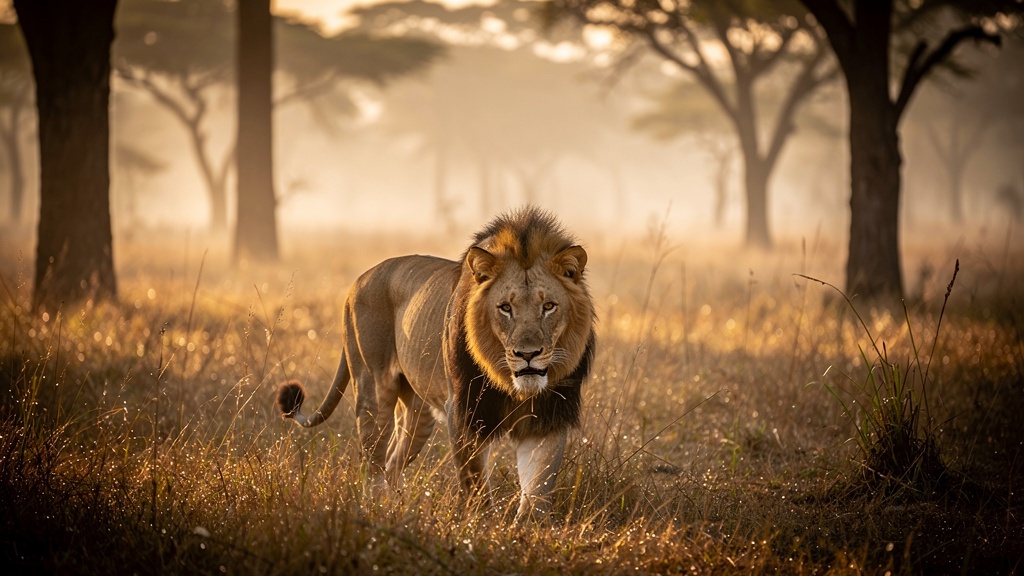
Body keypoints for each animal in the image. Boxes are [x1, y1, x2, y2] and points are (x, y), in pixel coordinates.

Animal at [276, 206, 596, 522]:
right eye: (505, 308)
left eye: (549, 306)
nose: (528, 354)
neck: (510, 383)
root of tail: (358, 281)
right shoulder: (465, 411)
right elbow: (475, 481)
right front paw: (482, 527)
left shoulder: (549, 414)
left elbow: (538, 483)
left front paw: (528, 528)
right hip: (373, 391)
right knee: (373, 461)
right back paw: (377, 510)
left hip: (418, 415)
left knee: (392, 462)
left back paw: (397, 507)